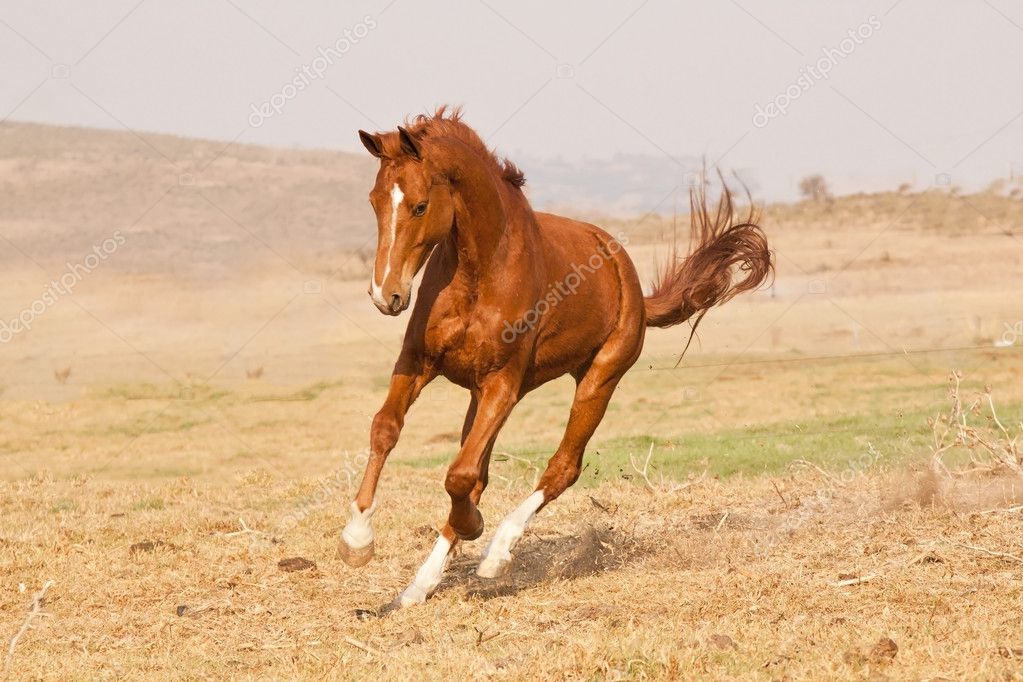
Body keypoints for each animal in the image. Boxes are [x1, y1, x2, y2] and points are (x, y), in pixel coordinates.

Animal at [339, 106, 769, 609]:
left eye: (421, 205)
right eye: (374, 201)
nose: (385, 296)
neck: (479, 270)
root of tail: (633, 284)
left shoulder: (503, 383)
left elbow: (460, 475)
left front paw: (475, 529)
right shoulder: (418, 364)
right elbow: (387, 430)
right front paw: (356, 540)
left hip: (597, 380)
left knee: (561, 467)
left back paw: (496, 553)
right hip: (483, 395)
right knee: (481, 470)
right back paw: (418, 586)